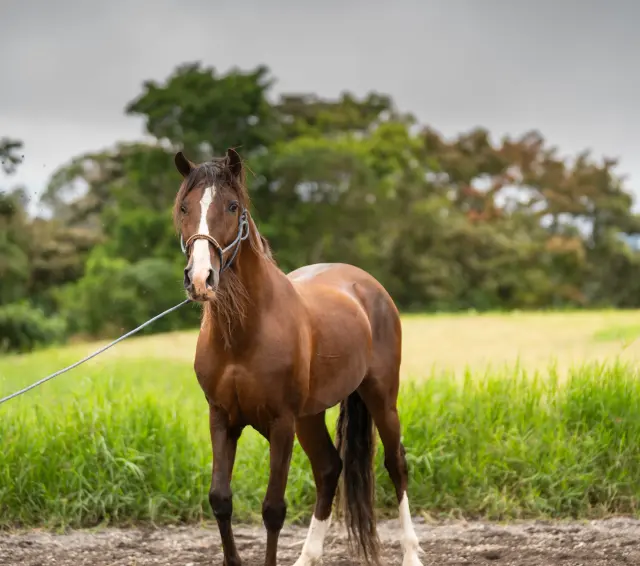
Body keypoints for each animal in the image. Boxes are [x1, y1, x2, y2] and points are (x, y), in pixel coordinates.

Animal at [173, 148, 423, 566]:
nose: (200, 279)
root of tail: (366, 284)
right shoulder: (221, 417)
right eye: (183, 207)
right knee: (329, 468)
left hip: (380, 397)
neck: (243, 334)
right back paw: (308, 557)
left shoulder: (281, 422)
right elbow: (220, 499)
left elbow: (273, 509)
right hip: (310, 417)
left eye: (232, 206)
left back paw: (411, 554)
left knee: (395, 463)